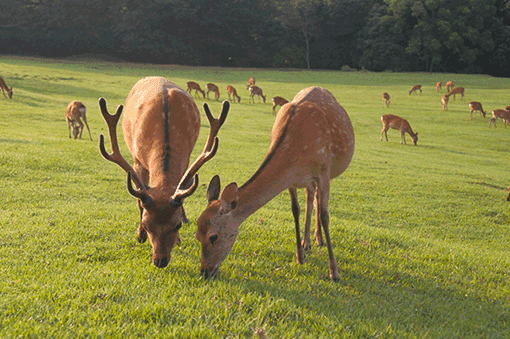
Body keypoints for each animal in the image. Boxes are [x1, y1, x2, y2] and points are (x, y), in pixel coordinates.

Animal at [98, 76, 229, 268]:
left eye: (177, 226)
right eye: (146, 225)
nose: (160, 261)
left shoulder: (186, 159)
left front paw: (179, 238)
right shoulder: (137, 160)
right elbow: (139, 201)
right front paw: (140, 236)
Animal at [194, 85, 354, 282]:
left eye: (213, 237)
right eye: (197, 236)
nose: (205, 272)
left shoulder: (324, 170)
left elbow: (325, 215)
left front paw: (334, 272)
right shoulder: (291, 180)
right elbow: (295, 210)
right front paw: (299, 257)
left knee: (317, 201)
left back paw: (319, 240)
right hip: (308, 181)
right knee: (311, 198)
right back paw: (307, 242)